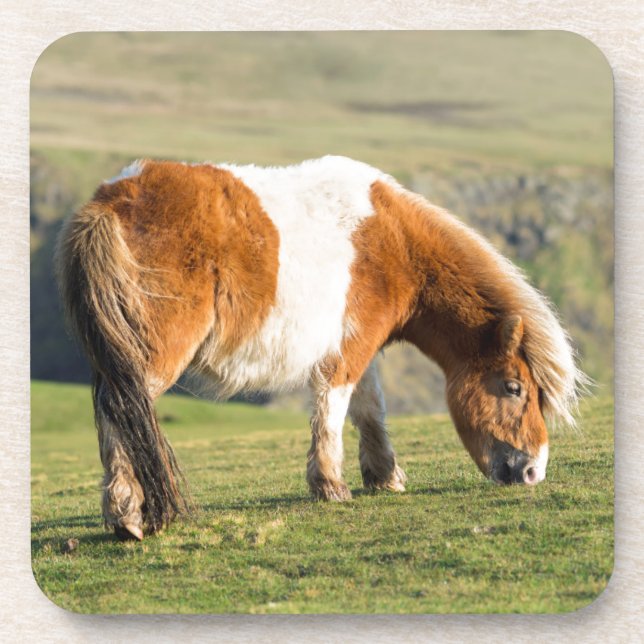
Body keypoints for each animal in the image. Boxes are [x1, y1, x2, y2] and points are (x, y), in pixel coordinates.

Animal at [55, 155, 585, 541]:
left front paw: (384, 476)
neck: (393, 241)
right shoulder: (349, 350)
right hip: (152, 356)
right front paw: (332, 485)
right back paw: (127, 515)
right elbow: (333, 409)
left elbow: (370, 410)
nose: (532, 471)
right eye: (514, 388)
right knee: (121, 409)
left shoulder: (363, 347)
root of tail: (110, 201)